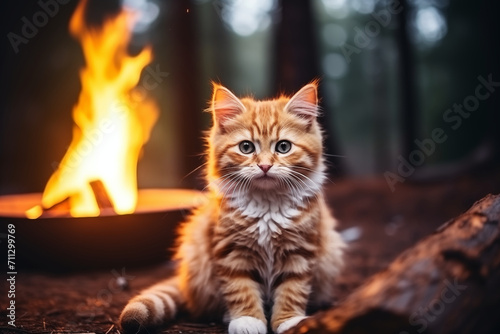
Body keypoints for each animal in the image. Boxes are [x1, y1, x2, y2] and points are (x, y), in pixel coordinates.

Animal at [118, 82, 344, 332]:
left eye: (283, 147)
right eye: (246, 147)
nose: (265, 166)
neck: (267, 207)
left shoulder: (301, 251)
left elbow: (292, 291)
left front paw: (289, 322)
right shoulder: (231, 251)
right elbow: (241, 290)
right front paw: (247, 320)